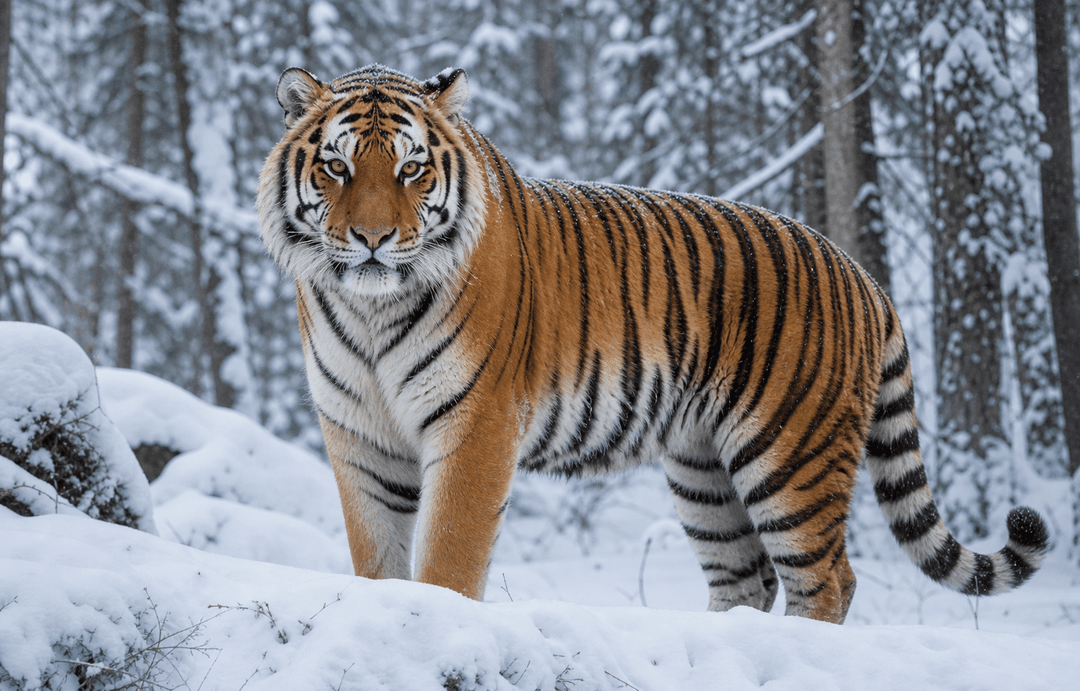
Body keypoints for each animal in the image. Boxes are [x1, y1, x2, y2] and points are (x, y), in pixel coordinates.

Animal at [256, 63, 1049, 623]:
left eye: (412, 168)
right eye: (336, 166)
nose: (372, 239)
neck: (369, 310)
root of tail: (862, 273)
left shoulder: (475, 426)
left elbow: (449, 558)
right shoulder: (359, 434)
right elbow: (375, 561)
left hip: (790, 453)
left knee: (827, 579)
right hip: (703, 466)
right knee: (747, 576)